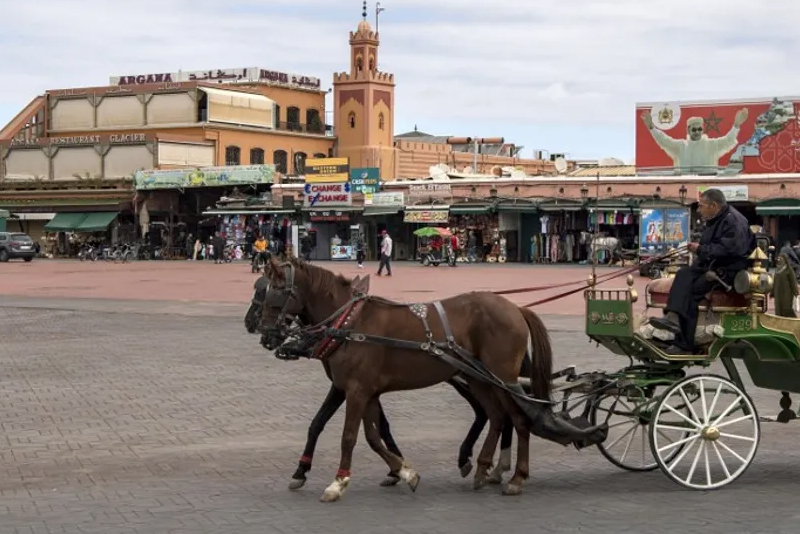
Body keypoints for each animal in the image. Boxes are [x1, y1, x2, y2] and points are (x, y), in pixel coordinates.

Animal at [260, 258, 604, 504]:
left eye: (273, 291)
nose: (264, 334)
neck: (351, 323)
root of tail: (516, 308)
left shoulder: (357, 391)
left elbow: (349, 437)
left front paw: (338, 482)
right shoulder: (365, 391)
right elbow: (372, 437)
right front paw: (404, 471)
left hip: (504, 377)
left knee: (519, 420)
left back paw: (516, 477)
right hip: (481, 379)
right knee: (497, 417)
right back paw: (483, 468)